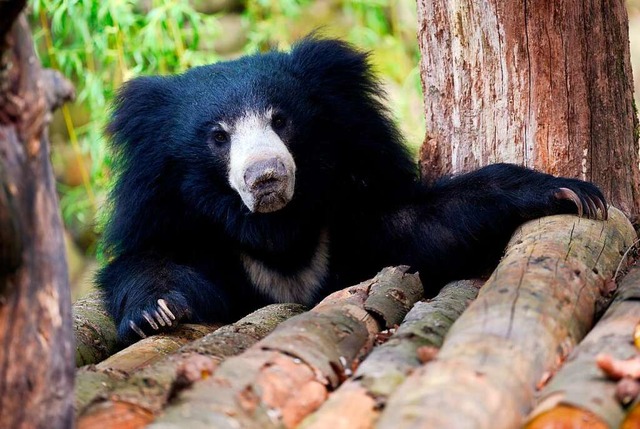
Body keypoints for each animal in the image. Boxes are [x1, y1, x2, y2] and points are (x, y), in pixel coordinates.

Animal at [97, 37, 608, 344]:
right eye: (219, 136)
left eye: (280, 119)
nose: (265, 178)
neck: (276, 228)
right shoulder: (176, 215)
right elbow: (149, 259)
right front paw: (157, 312)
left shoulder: (348, 211)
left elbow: (423, 225)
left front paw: (571, 192)